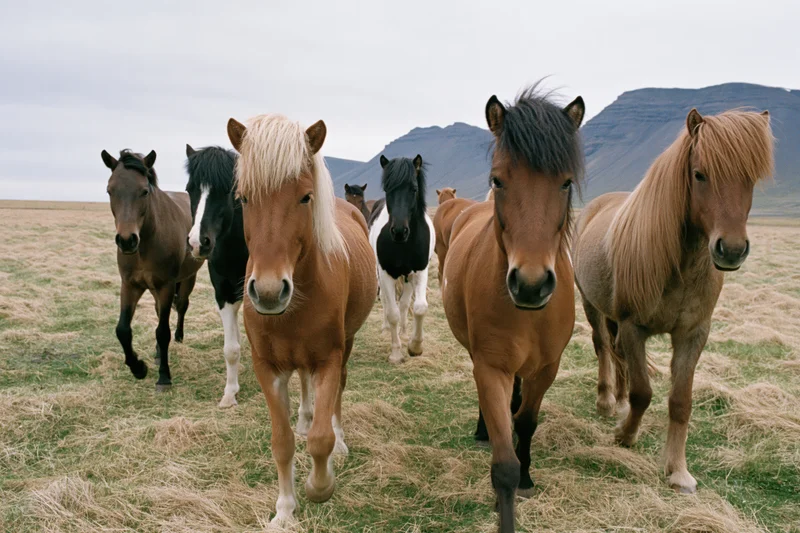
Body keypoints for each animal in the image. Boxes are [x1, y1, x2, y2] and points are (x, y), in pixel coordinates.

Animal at [101, 149, 205, 390]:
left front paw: (164, 377)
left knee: (181, 307)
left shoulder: (166, 285)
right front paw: (138, 368)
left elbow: (162, 331)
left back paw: (178, 337)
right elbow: (123, 330)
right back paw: (158, 354)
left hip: (187, 279)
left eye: (144, 191)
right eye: (110, 190)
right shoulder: (130, 285)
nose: (127, 240)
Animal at [226, 113, 377, 525]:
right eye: (243, 198)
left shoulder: (328, 358)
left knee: (336, 395)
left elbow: (321, 439)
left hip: (346, 345)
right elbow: (282, 442)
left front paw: (319, 486)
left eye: (305, 197)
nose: (267, 291)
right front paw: (284, 510)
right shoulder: (267, 367)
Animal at [368, 155, 435, 364]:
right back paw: (386, 330)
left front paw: (415, 346)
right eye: (387, 189)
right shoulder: (385, 273)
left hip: (408, 276)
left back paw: (405, 333)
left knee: (405, 304)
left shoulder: (420, 270)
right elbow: (392, 313)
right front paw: (396, 352)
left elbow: (419, 307)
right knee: (386, 301)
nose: (398, 231)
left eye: (414, 189)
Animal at [441, 86, 585, 533]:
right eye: (498, 180)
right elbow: (502, 464)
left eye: (565, 182)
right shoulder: (491, 366)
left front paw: (526, 476)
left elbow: (525, 421)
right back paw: (483, 428)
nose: (531, 283)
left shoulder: (547, 368)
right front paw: (508, 477)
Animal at [573, 108, 774, 494]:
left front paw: (678, 470)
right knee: (603, 347)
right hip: (593, 306)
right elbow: (643, 392)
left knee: (616, 354)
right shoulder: (633, 327)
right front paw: (624, 436)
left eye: (751, 179)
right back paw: (607, 401)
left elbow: (681, 401)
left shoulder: (693, 334)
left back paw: (619, 402)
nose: (732, 249)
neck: (680, 266)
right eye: (699, 175)